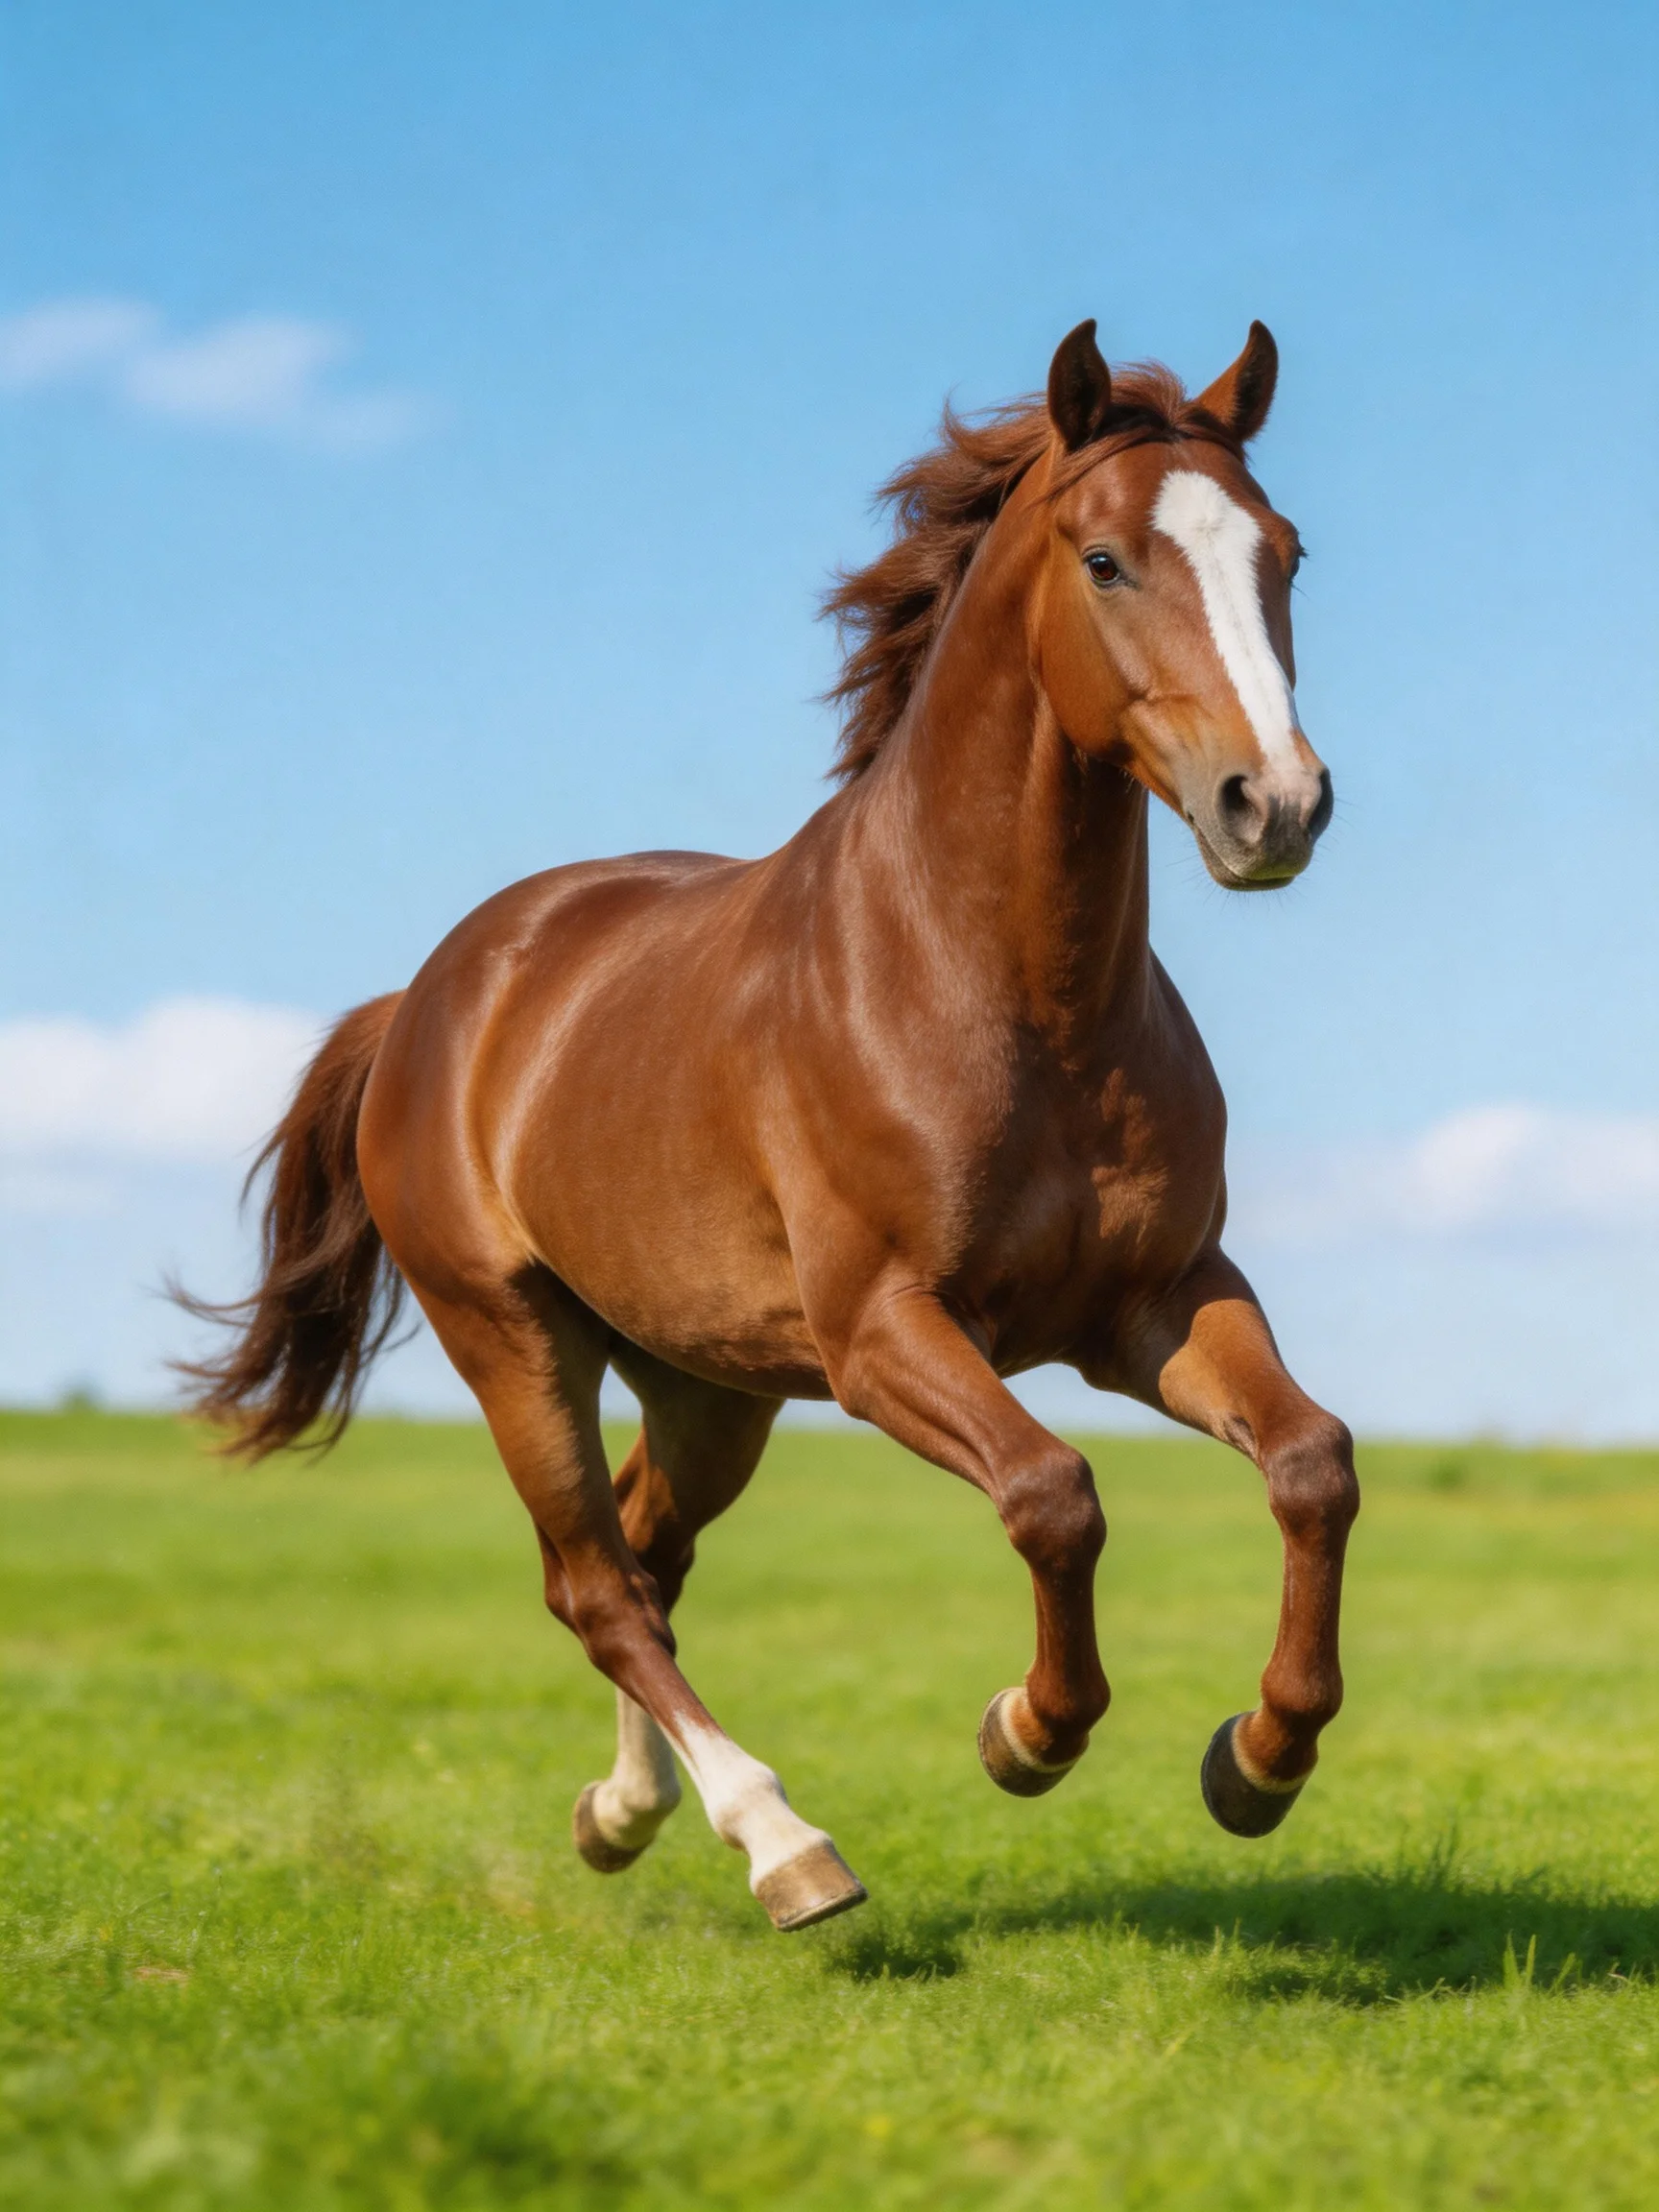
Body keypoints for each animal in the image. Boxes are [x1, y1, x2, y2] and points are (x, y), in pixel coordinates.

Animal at [184, 318, 1358, 1933]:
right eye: (1109, 561)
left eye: (1285, 553)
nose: (1276, 808)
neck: (1007, 995)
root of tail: (429, 999)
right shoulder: (883, 1335)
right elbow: (1054, 1495)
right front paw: (1027, 1732)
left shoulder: (1160, 1301)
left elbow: (1313, 1462)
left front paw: (1260, 1758)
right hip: (513, 1338)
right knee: (596, 1584)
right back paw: (785, 1847)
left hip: (706, 1383)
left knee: (646, 1553)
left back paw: (626, 1813)